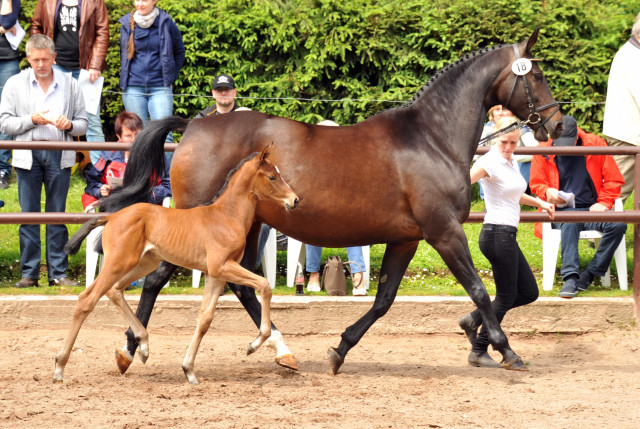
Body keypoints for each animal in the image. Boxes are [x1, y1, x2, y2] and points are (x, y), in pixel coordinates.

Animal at [57, 145, 298, 382]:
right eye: (272, 177)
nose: (295, 200)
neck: (226, 217)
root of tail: (111, 217)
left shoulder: (216, 275)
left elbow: (205, 318)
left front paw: (189, 369)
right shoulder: (222, 266)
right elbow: (265, 285)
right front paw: (254, 344)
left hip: (144, 263)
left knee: (115, 291)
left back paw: (143, 346)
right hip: (118, 263)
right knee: (87, 299)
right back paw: (59, 366)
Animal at [102, 29, 564, 374]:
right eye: (537, 74)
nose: (557, 124)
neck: (430, 139)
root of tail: (194, 127)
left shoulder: (406, 239)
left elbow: (383, 299)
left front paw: (339, 350)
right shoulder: (444, 232)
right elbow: (480, 291)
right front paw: (507, 350)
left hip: (246, 227)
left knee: (241, 284)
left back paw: (281, 352)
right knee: (160, 279)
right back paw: (131, 348)